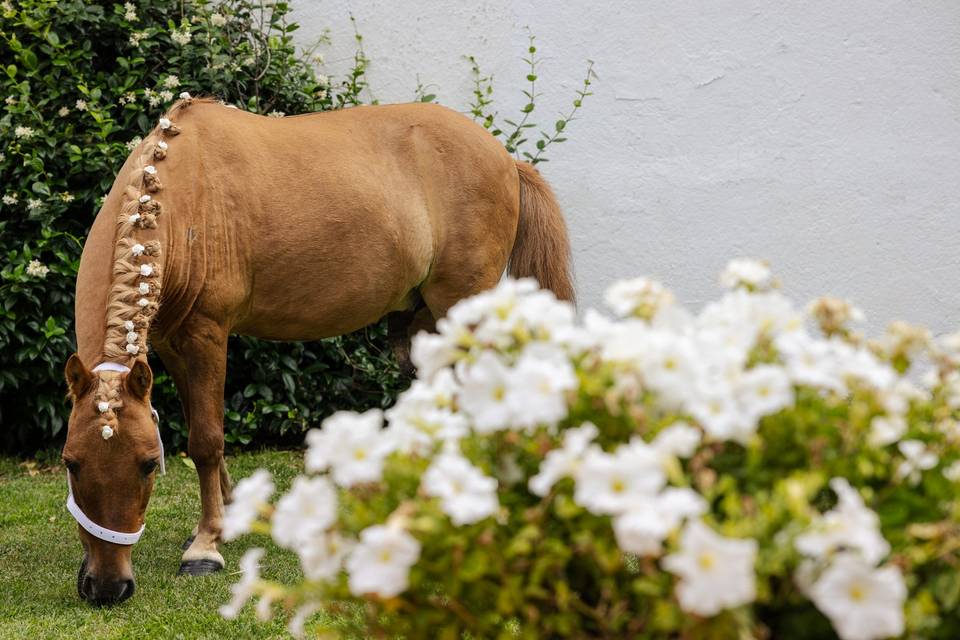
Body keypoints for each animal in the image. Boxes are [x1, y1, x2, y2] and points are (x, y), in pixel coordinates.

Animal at [63, 96, 572, 604]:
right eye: (71, 463)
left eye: (149, 465)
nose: (107, 586)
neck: (185, 192)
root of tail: (506, 159)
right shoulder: (171, 342)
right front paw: (224, 517)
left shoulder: (207, 333)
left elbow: (206, 440)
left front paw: (206, 546)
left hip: (462, 312)